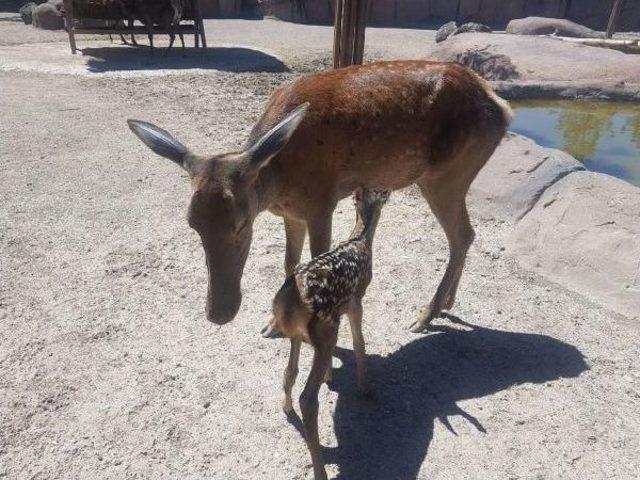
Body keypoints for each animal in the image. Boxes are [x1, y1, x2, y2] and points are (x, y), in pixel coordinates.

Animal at [127, 60, 512, 334]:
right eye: (191, 224)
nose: (219, 313)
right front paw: (271, 323)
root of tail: (502, 107)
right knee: (464, 235)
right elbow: (289, 262)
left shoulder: (322, 202)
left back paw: (425, 315)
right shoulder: (291, 213)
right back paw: (446, 303)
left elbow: (315, 259)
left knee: (462, 234)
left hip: (448, 174)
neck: (279, 180)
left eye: (241, 224)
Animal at [260, 187, 390, 480]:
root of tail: (290, 298)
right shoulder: (355, 299)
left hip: (301, 333)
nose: (386, 192)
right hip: (325, 331)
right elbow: (359, 342)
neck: (360, 240)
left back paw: (286, 406)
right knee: (308, 399)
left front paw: (331, 375)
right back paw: (321, 471)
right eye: (380, 194)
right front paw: (365, 388)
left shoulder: (339, 311)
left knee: (290, 371)